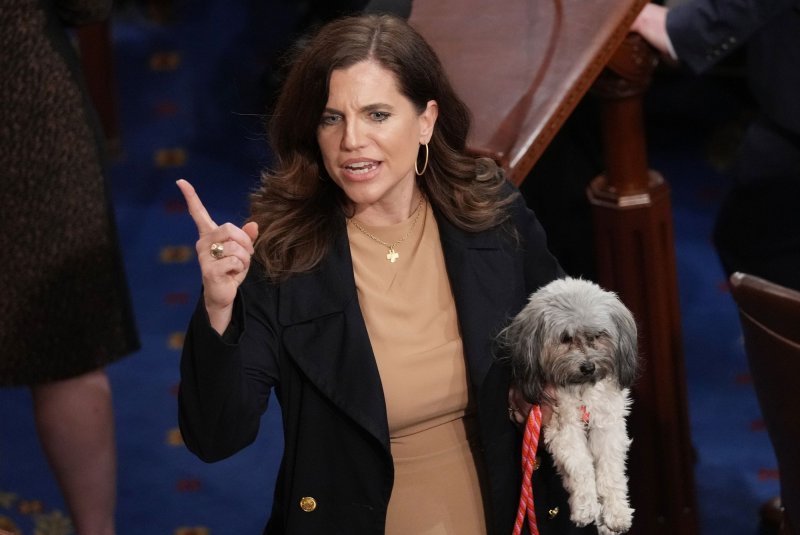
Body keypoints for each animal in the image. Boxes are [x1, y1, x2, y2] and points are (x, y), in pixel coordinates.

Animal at [500, 278, 636, 532]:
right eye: (565, 338)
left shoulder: (606, 425)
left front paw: (616, 513)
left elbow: (610, 469)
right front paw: (585, 508)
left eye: (597, 336)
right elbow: (581, 466)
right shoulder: (563, 427)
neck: (582, 390)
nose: (588, 367)